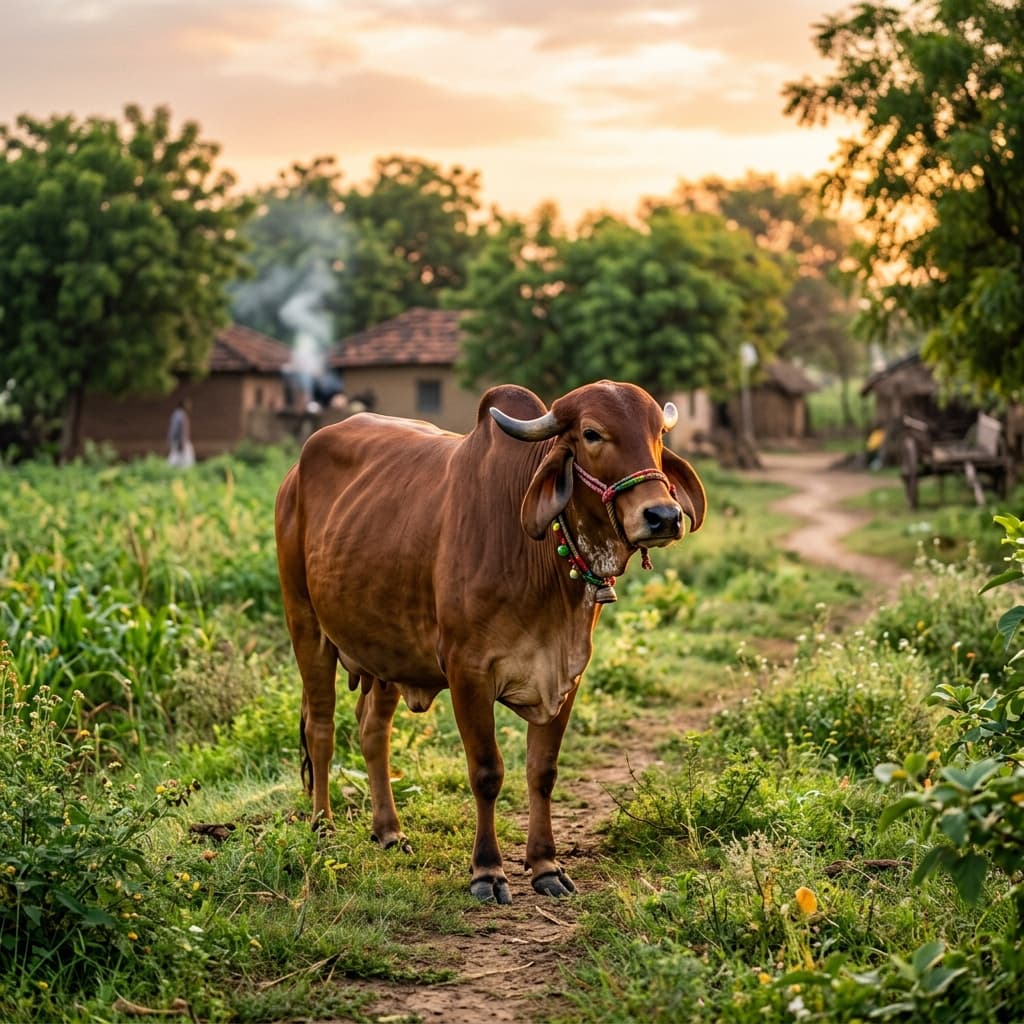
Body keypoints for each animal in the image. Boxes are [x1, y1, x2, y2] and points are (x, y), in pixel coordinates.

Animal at [274, 380, 706, 904]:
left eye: (659, 434)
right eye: (591, 433)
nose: (662, 516)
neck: (540, 562)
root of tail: (295, 472)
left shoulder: (567, 675)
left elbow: (542, 771)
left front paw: (545, 865)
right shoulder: (468, 674)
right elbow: (486, 772)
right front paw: (487, 871)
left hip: (387, 651)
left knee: (373, 730)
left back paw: (389, 831)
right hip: (306, 624)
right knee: (320, 728)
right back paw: (322, 826)